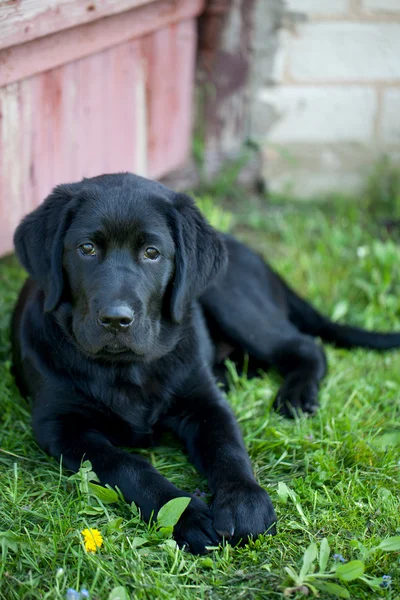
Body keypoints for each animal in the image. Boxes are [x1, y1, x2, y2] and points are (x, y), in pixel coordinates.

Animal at [10, 172, 400, 552]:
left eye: (152, 253)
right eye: (86, 249)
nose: (116, 320)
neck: (128, 367)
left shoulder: (205, 403)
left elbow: (226, 448)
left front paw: (244, 502)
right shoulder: (60, 426)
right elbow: (124, 463)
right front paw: (187, 515)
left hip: (233, 302)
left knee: (307, 346)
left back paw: (296, 396)